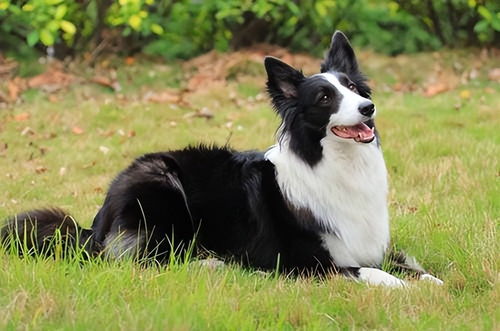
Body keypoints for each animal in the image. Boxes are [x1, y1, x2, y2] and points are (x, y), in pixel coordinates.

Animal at [2, 31, 442, 288]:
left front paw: (436, 282)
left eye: (352, 87)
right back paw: (212, 264)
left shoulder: (369, 245)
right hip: (160, 182)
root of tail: (93, 226)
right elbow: (370, 272)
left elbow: (411, 265)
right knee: (144, 258)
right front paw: (404, 288)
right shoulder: (304, 260)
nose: (368, 108)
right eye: (324, 97)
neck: (333, 163)